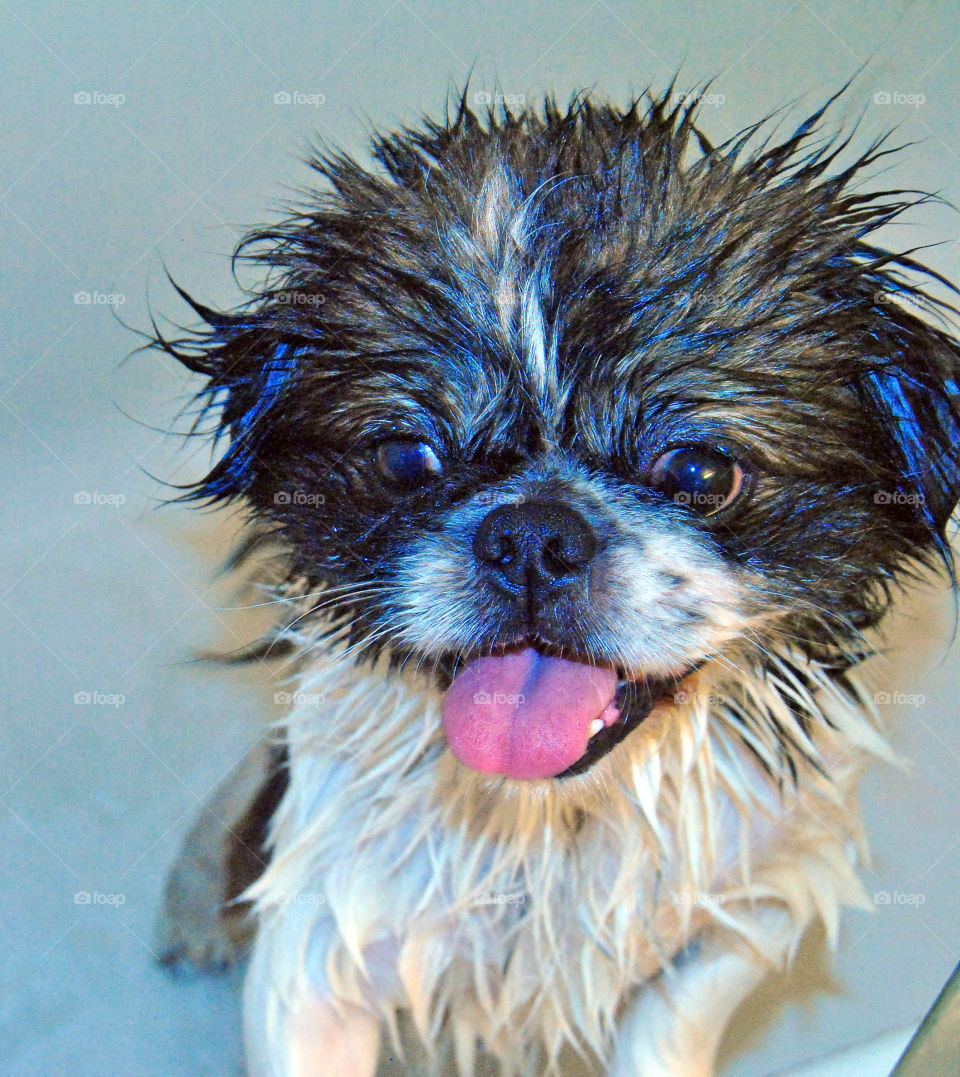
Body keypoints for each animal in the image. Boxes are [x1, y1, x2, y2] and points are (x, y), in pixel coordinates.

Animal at [151, 86, 960, 1077]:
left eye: (699, 472)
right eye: (406, 459)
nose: (533, 533)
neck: (546, 820)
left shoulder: (753, 899)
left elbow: (672, 1021)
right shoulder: (323, 941)